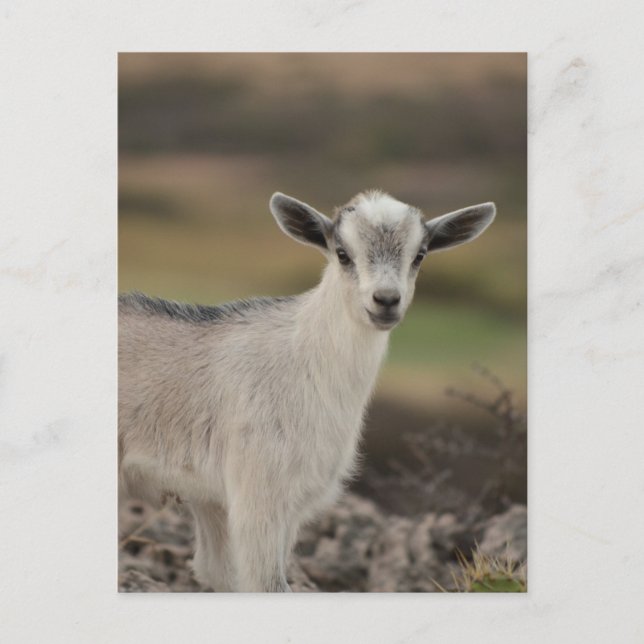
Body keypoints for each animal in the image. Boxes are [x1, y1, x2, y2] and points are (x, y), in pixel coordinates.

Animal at [118, 190, 495, 592]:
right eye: (342, 253)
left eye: (420, 254)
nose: (386, 300)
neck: (304, 361)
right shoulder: (258, 489)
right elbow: (265, 582)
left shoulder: (221, 500)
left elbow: (219, 572)